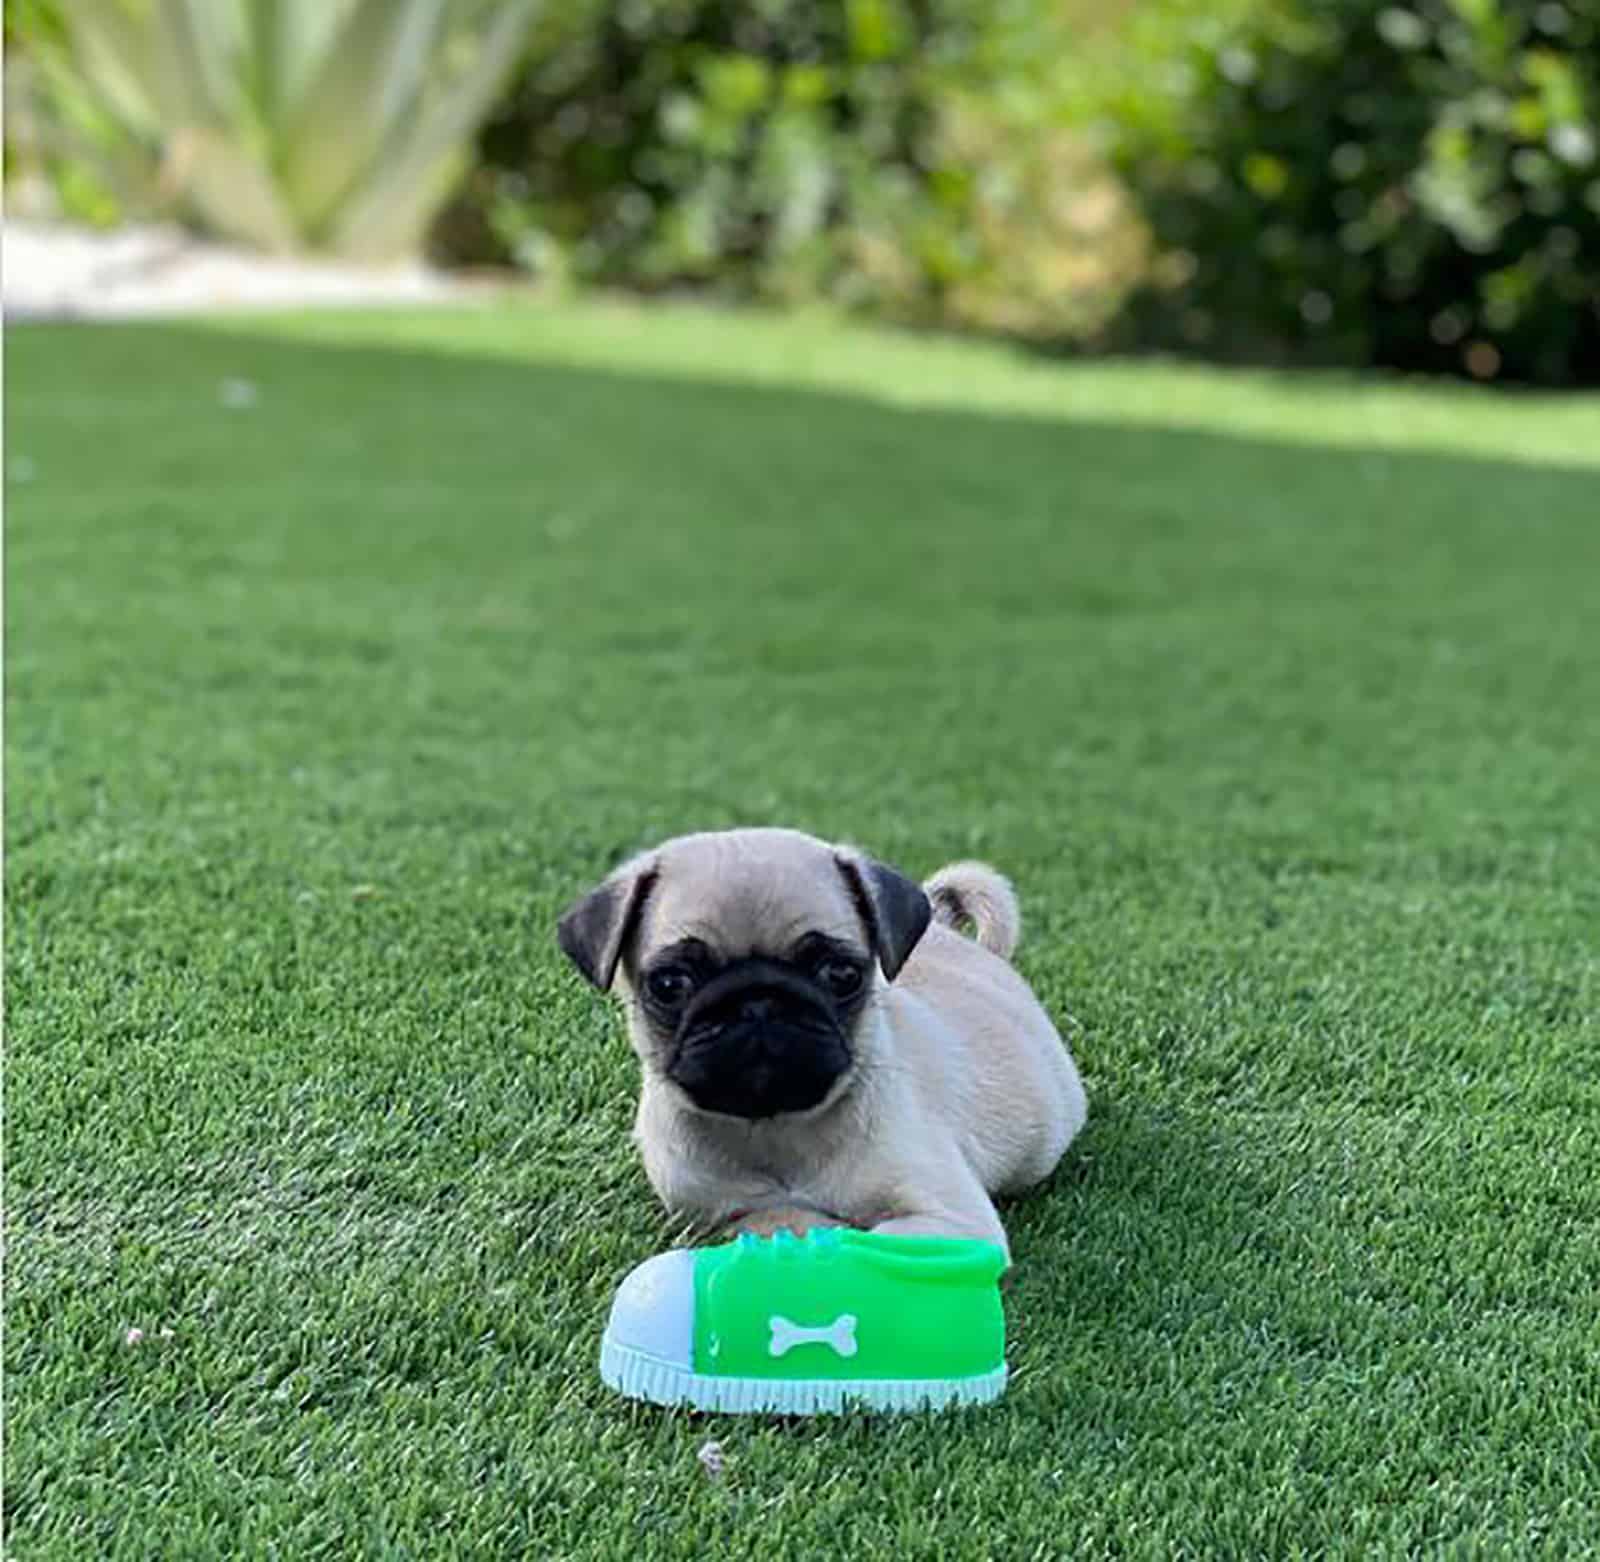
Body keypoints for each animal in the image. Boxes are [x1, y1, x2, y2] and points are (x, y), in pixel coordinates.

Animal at [553, 832, 1088, 1254]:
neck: (774, 1127)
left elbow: (867, 1242)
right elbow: (774, 1219)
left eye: (842, 974)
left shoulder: (950, 1221)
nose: (758, 1001)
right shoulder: (712, 1208)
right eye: (669, 985)